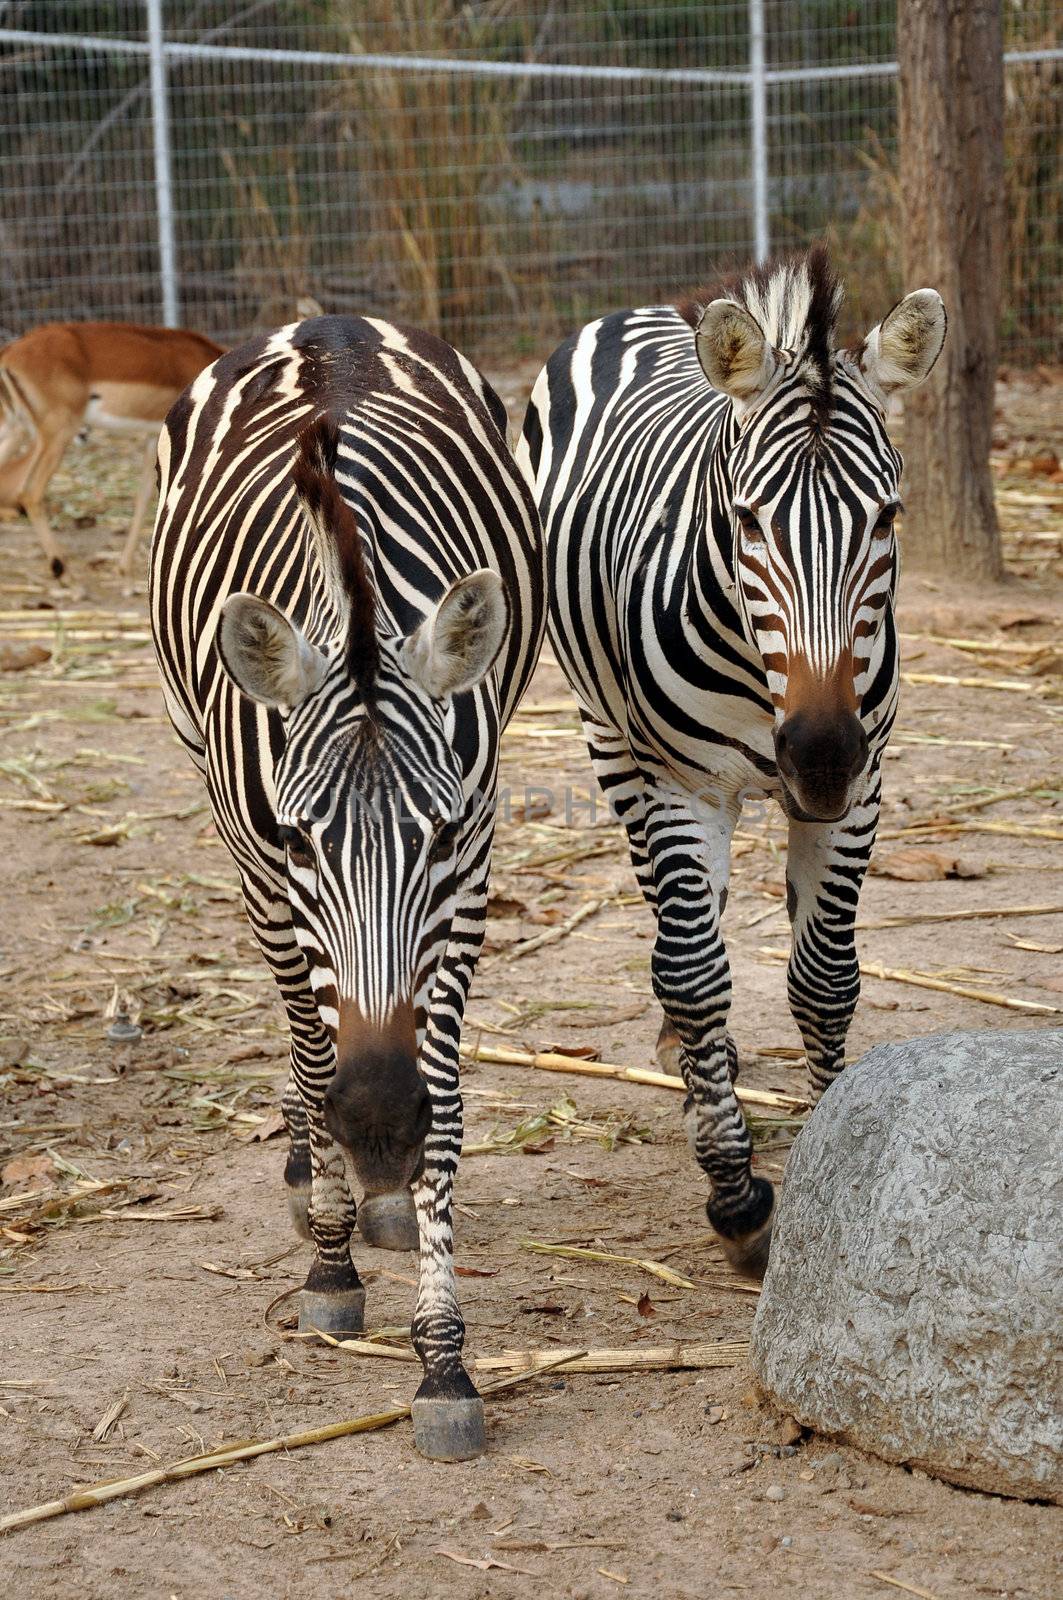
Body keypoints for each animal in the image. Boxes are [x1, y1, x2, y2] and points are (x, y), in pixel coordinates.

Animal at [0, 321, 224, 579]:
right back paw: (62, 570)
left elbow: (145, 495)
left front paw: (124, 565)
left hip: (15, 429)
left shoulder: (154, 437)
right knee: (30, 492)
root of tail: (11, 351)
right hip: (56, 433)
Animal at [149, 315, 544, 1465]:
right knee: (298, 1031)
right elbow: (312, 1041)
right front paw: (329, 1261)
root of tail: (324, 323)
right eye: (297, 834)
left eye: (439, 830)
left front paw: (443, 1358)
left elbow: (444, 1094)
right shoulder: (263, 868)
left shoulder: (470, 871)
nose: (376, 1127)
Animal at [518, 246, 941, 1273]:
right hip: (612, 741)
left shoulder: (863, 785)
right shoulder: (683, 784)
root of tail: (640, 313)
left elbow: (824, 978)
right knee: (678, 929)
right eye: (747, 521)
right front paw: (737, 1194)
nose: (817, 755)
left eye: (887, 518)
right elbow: (697, 973)